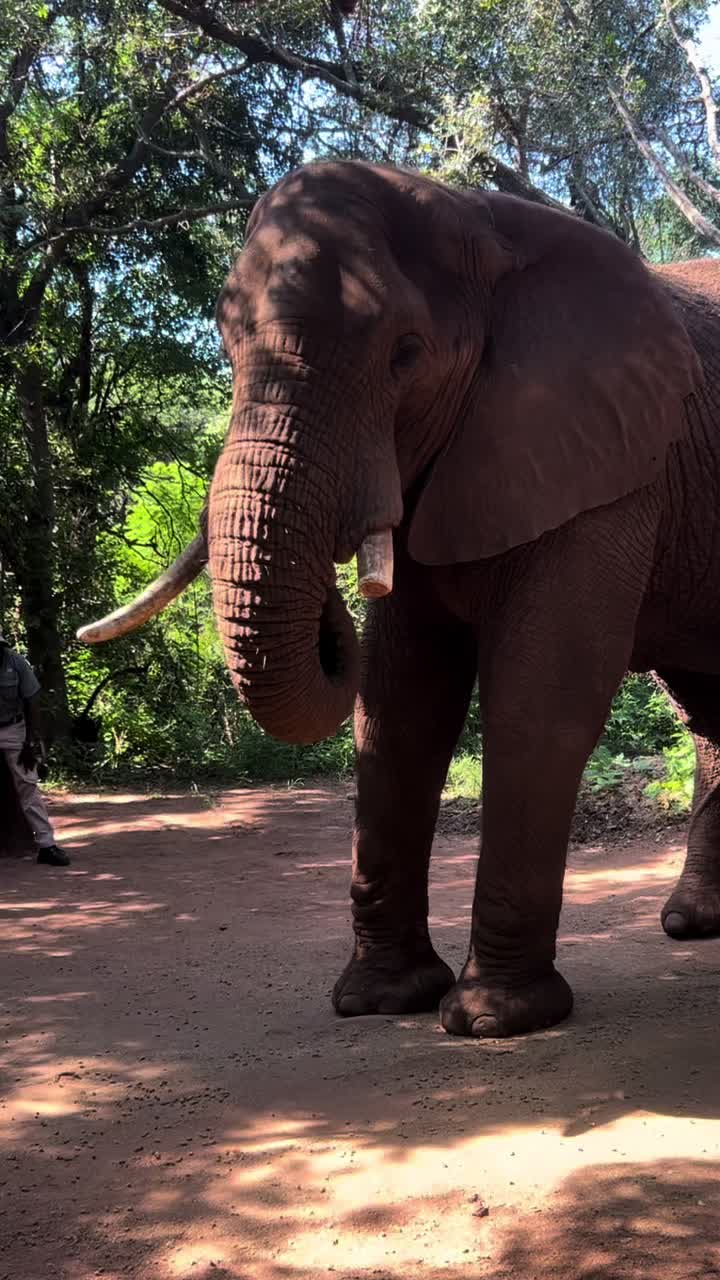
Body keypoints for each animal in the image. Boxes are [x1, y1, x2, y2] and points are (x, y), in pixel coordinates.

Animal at [79, 159, 720, 1039]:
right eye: (226, 342)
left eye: (406, 356)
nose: (330, 612)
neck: (482, 221)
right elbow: (398, 705)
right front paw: (381, 1001)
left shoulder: (612, 465)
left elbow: (540, 695)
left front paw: (491, 1020)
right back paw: (692, 926)